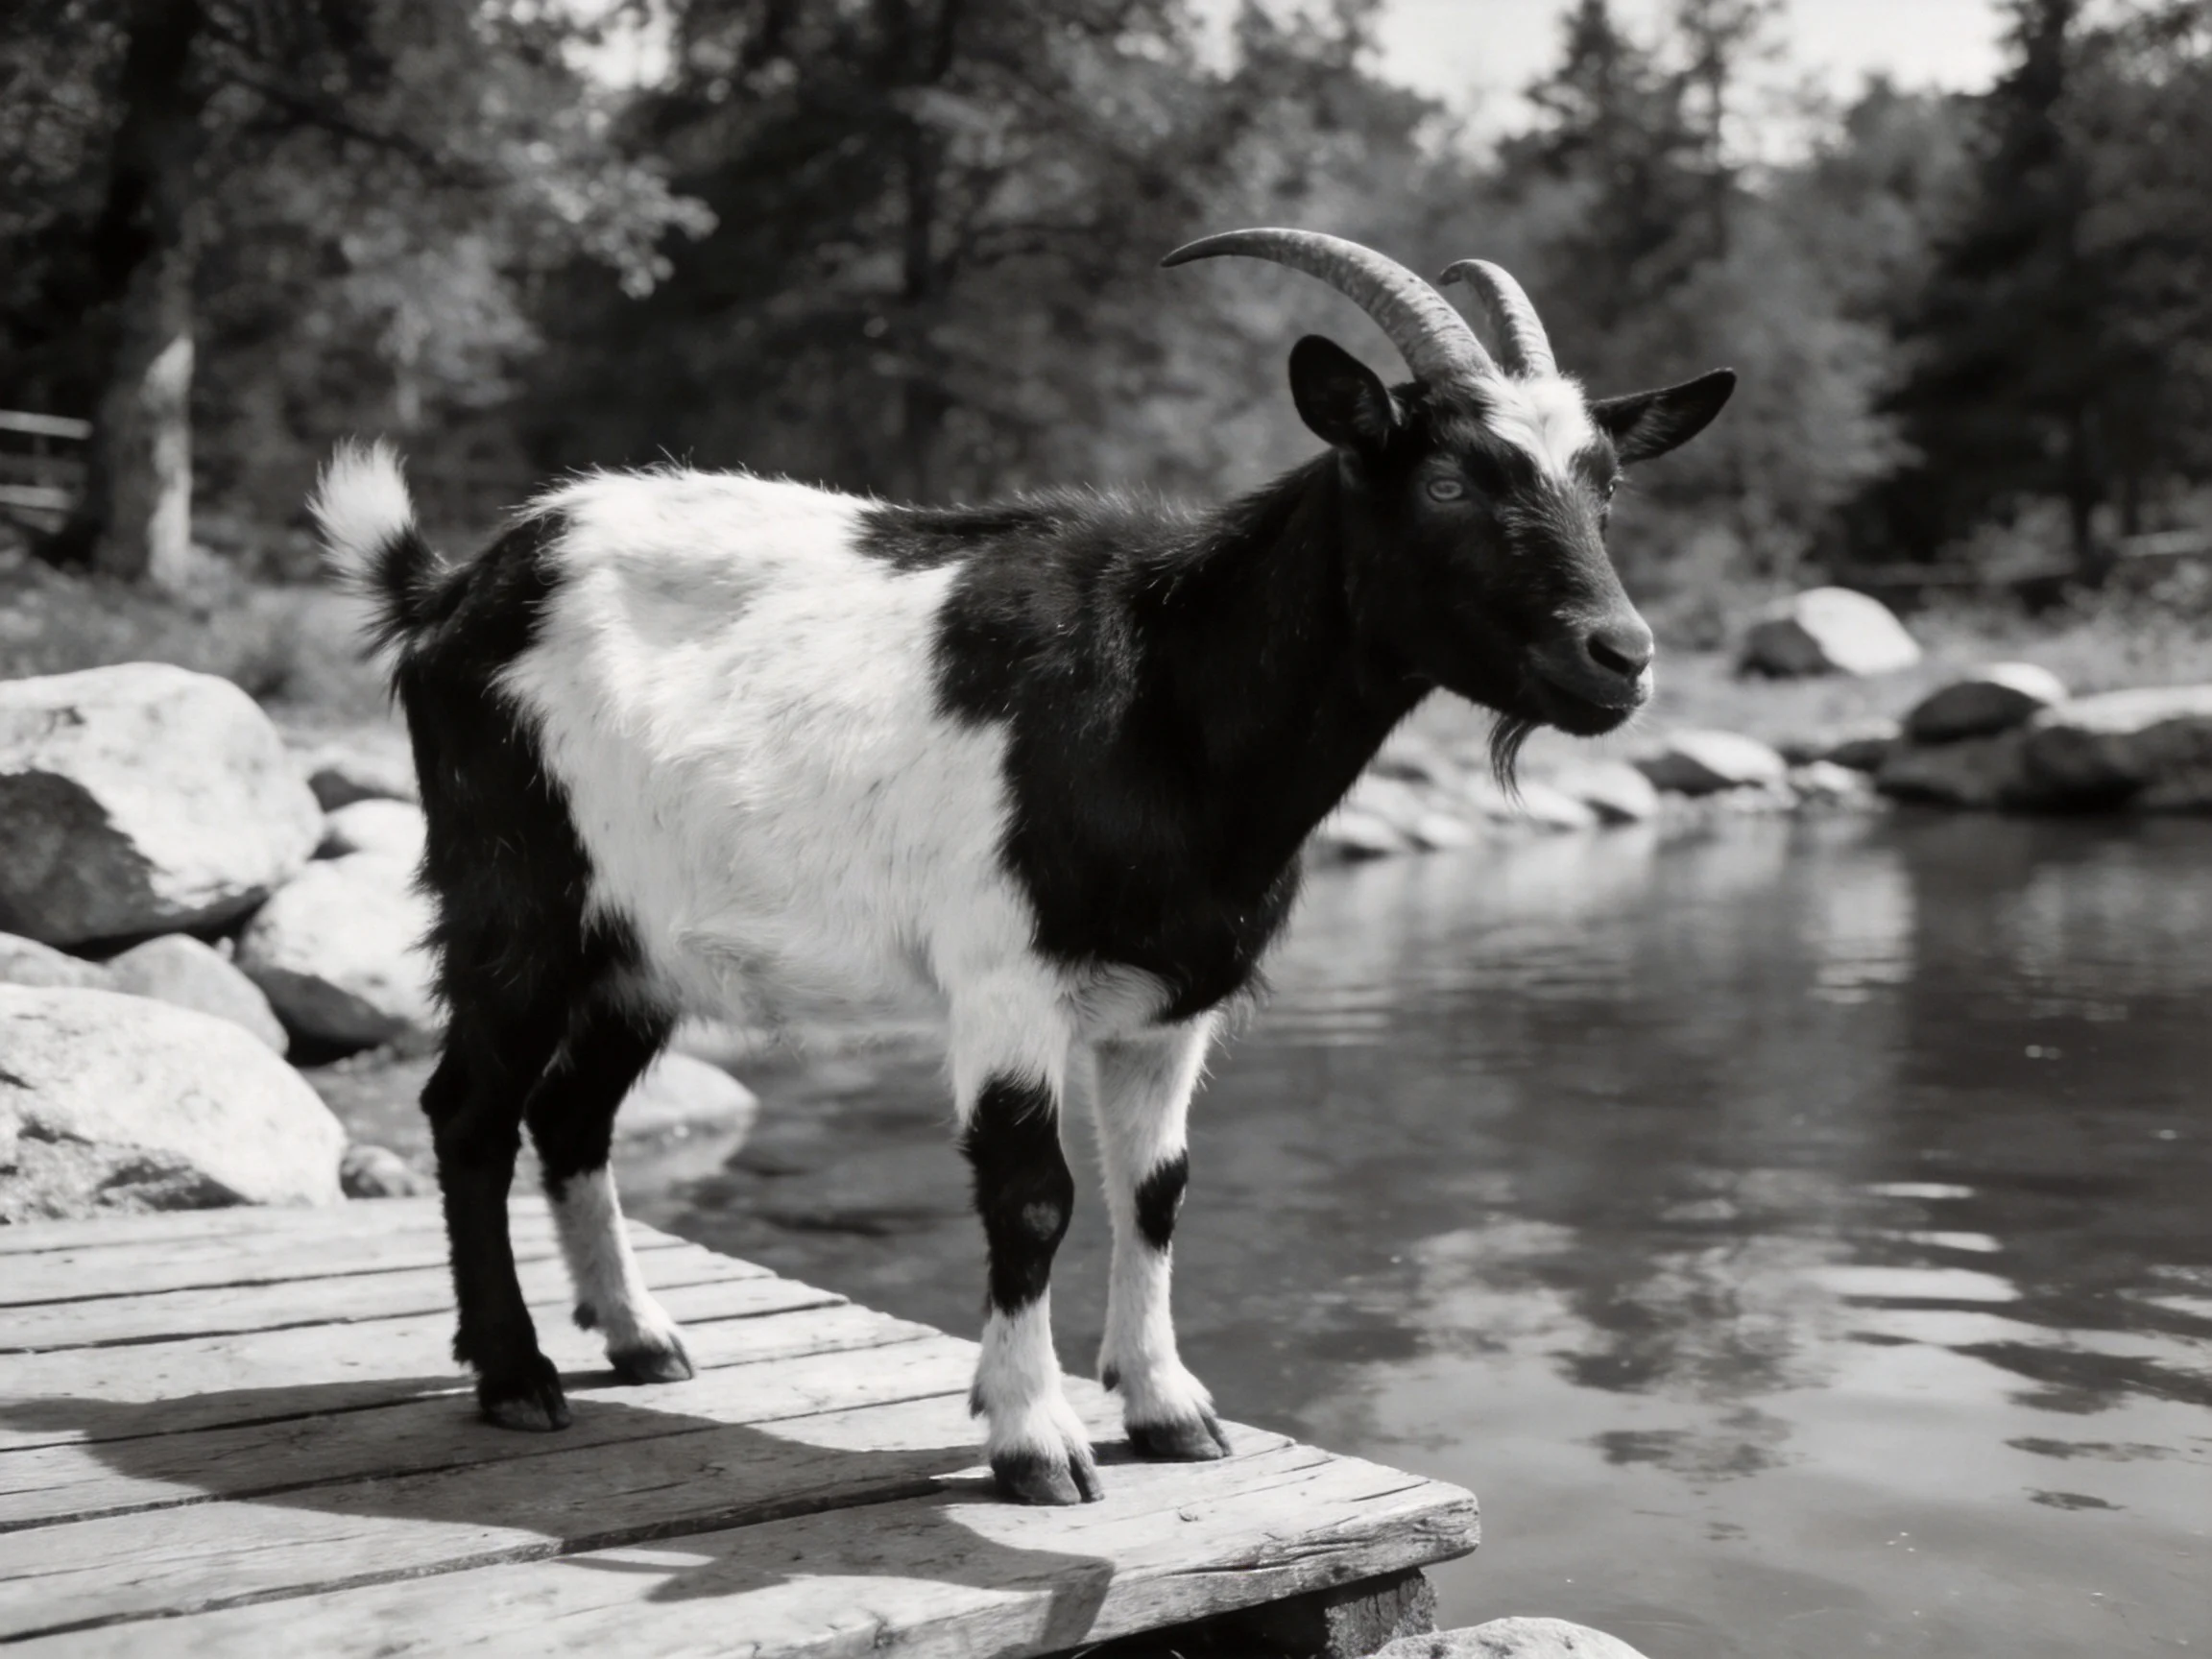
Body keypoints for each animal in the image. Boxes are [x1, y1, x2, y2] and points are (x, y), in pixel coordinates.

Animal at [314, 229, 1733, 1506]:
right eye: (1443, 485)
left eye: (1604, 487)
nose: (1621, 656)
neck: (1166, 694)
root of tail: (452, 589)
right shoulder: (1007, 979)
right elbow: (1032, 1197)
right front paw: (1035, 1439)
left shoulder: (1173, 1000)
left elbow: (1155, 1191)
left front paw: (1168, 1408)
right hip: (515, 895)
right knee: (469, 1111)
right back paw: (516, 1376)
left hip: (644, 942)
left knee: (574, 1116)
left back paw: (640, 1337)